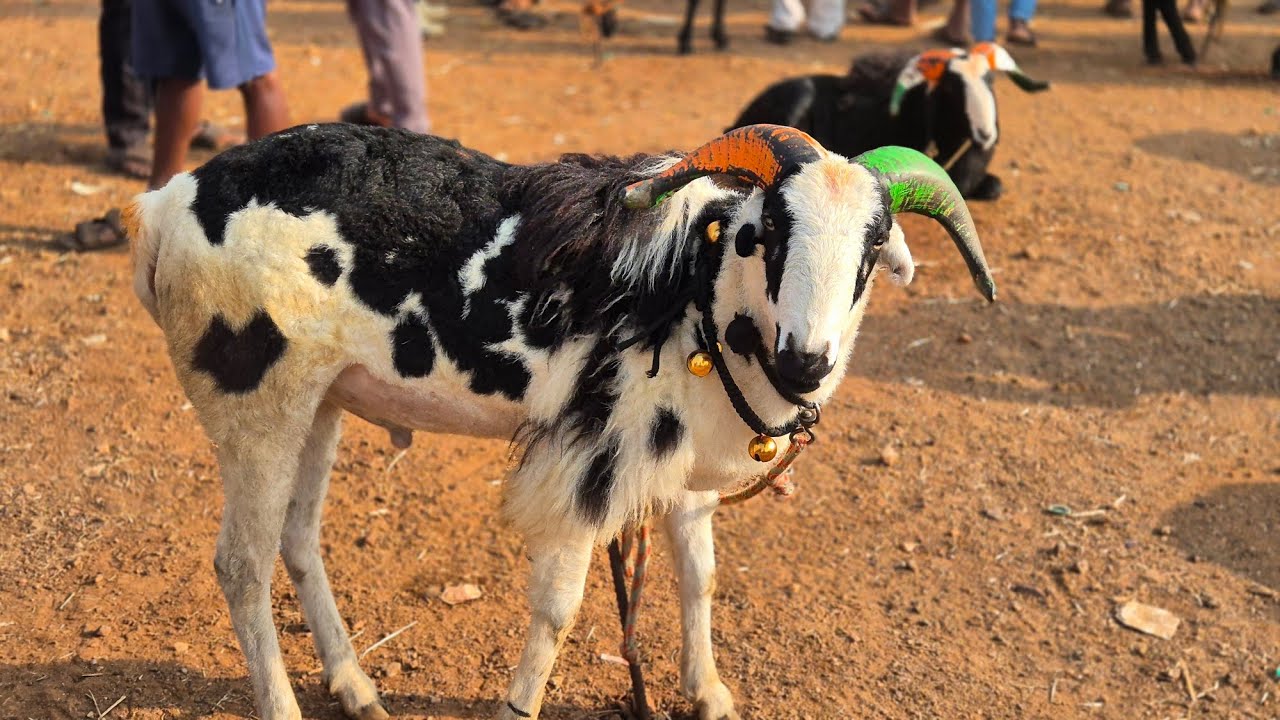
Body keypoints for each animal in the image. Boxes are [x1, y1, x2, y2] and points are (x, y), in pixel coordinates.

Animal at [126, 122, 996, 720]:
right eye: (769, 231)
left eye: (876, 245)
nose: (807, 360)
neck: (699, 285)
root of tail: (167, 205)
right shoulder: (595, 458)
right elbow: (559, 606)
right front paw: (519, 705)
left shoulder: (684, 467)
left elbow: (700, 576)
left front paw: (707, 691)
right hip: (257, 406)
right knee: (241, 565)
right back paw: (284, 703)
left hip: (320, 401)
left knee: (299, 542)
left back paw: (355, 685)